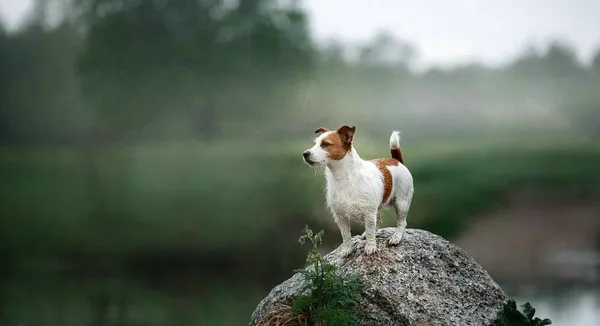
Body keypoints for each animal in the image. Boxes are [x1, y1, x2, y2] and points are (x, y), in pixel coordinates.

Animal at [304, 126, 412, 256]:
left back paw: (396, 237)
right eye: (315, 143)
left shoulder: (369, 212)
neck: (343, 177)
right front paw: (347, 249)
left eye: (325, 144)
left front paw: (370, 247)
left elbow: (370, 231)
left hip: (402, 203)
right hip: (378, 208)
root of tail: (396, 160)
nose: (305, 154)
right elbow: (346, 235)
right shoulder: (340, 216)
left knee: (401, 222)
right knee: (377, 221)